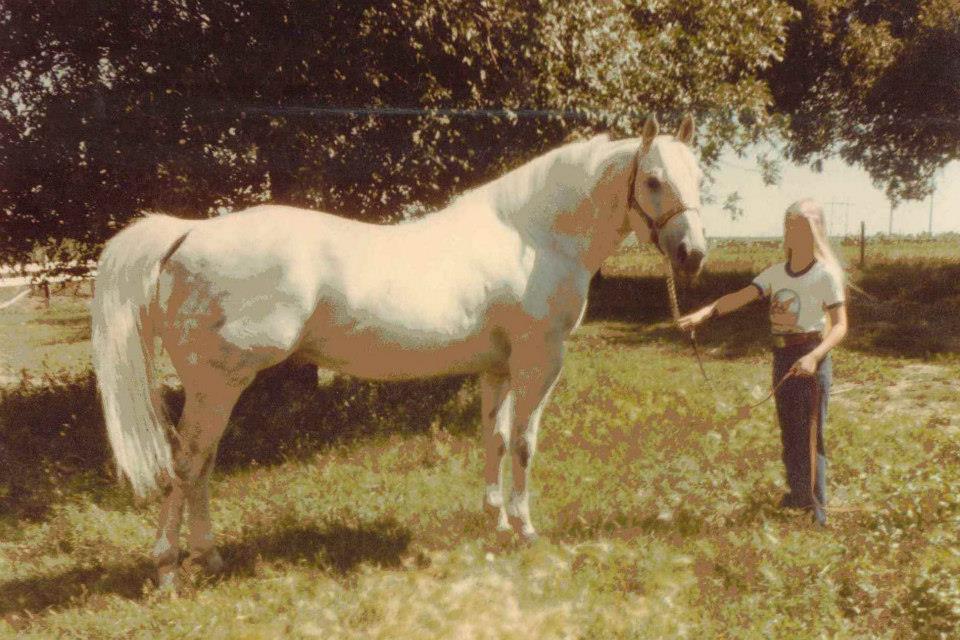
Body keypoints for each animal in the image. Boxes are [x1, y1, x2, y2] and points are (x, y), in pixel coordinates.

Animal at [91, 114, 707, 588]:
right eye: (653, 180)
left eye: (698, 177)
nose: (693, 254)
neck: (531, 238)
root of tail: (188, 232)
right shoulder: (540, 362)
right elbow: (525, 444)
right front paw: (526, 529)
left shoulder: (498, 369)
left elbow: (495, 438)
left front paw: (495, 523)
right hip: (217, 383)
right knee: (187, 464)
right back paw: (168, 567)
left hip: (215, 387)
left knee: (203, 464)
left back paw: (209, 556)